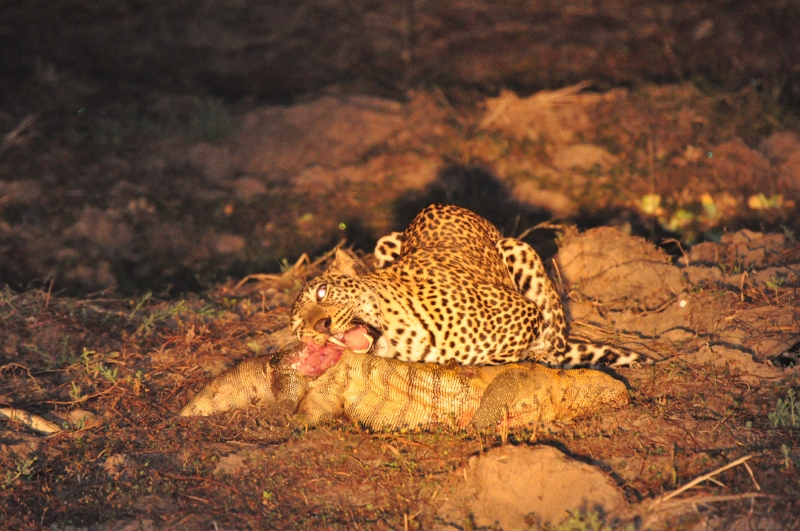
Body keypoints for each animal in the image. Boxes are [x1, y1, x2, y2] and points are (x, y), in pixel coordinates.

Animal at [291, 203, 642, 368]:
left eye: (322, 292)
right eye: (300, 332)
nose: (320, 327)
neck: (400, 337)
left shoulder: (523, 312)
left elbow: (497, 355)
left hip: (519, 249)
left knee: (556, 340)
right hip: (387, 242)